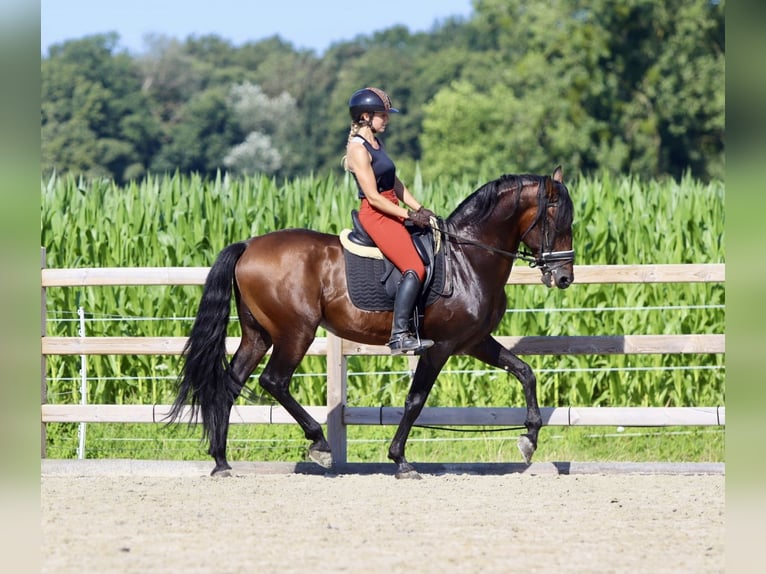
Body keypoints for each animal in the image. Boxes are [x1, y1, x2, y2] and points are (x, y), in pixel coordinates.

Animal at [170, 166, 576, 482]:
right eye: (559, 221)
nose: (564, 278)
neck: (468, 258)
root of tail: (249, 245)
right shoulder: (441, 347)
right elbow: (416, 399)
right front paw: (400, 459)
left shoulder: (474, 341)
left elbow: (524, 372)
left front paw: (529, 439)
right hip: (295, 332)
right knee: (274, 381)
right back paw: (319, 444)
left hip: (258, 335)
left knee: (230, 385)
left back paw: (221, 461)